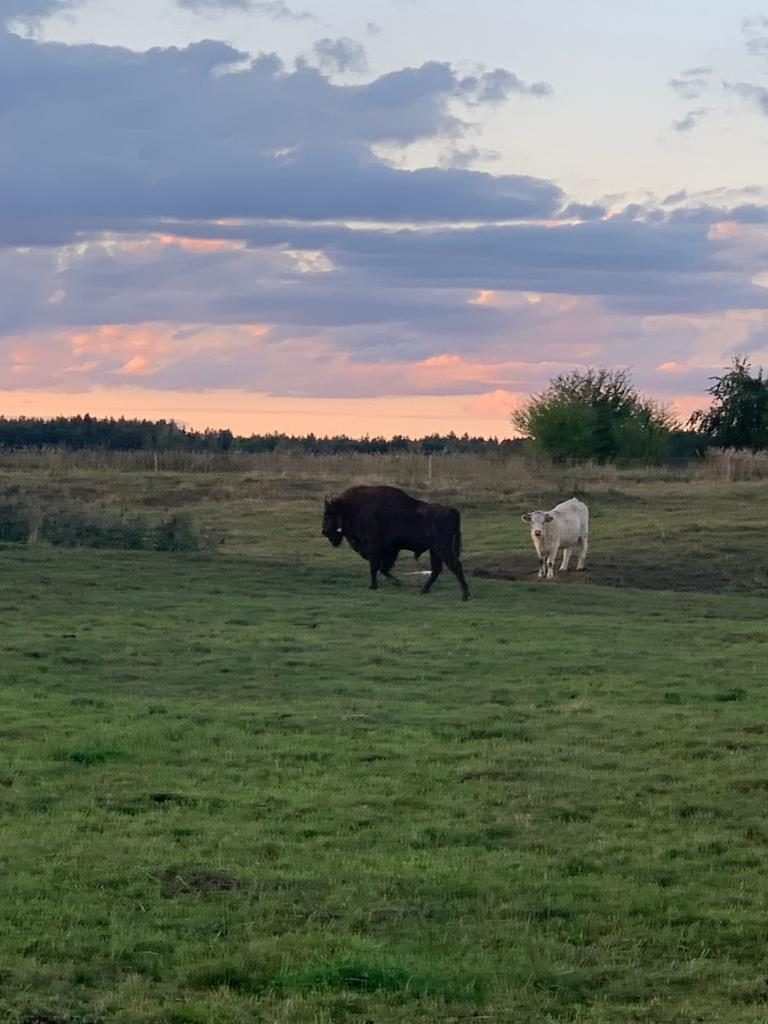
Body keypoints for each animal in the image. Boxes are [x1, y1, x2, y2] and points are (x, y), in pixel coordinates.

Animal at [321, 481, 473, 598]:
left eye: (328, 514)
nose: (324, 532)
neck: (350, 508)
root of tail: (453, 511)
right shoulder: (391, 550)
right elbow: (383, 569)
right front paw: (397, 582)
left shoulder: (374, 548)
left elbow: (375, 567)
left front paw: (373, 586)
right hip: (434, 551)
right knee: (437, 569)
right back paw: (424, 590)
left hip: (443, 548)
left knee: (455, 566)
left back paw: (465, 595)